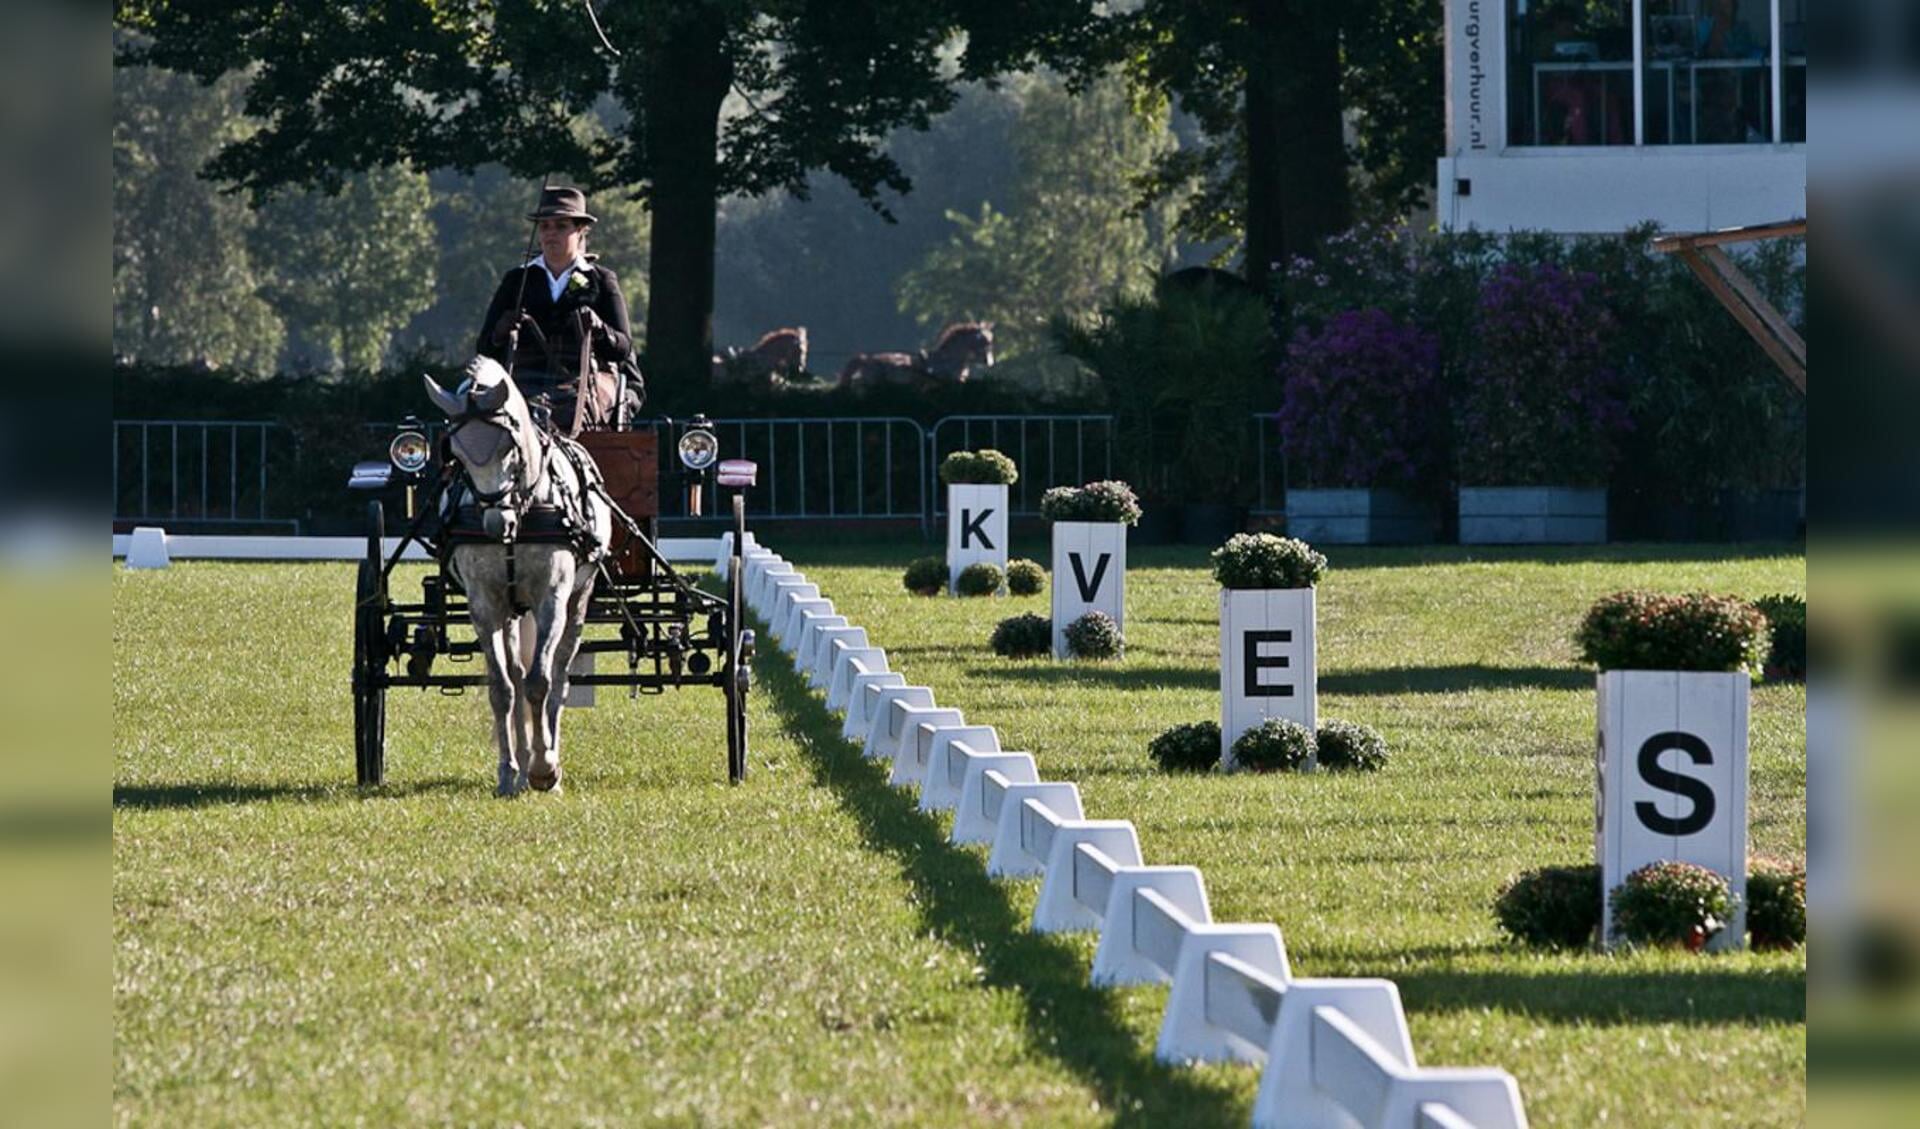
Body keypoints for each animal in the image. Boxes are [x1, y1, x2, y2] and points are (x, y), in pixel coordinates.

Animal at [424, 359, 610, 794]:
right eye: (456, 455)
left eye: (508, 447)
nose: (496, 524)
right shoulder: (485, 604)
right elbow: (503, 687)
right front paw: (510, 771)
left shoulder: (552, 598)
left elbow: (541, 682)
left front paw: (546, 768)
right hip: (511, 610)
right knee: (516, 674)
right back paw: (523, 768)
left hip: (579, 599)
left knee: (558, 676)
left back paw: (548, 765)